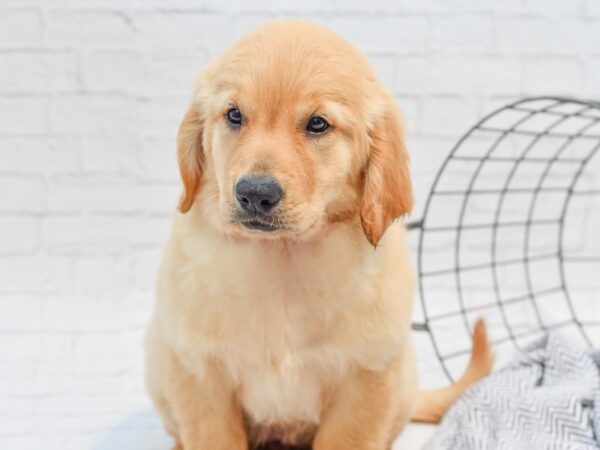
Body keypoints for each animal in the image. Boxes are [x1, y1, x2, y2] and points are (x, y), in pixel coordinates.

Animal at [145, 19, 492, 448]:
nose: (255, 194)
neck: (283, 256)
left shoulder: (367, 375)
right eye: (234, 115)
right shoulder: (198, 370)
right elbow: (211, 434)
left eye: (317, 124)